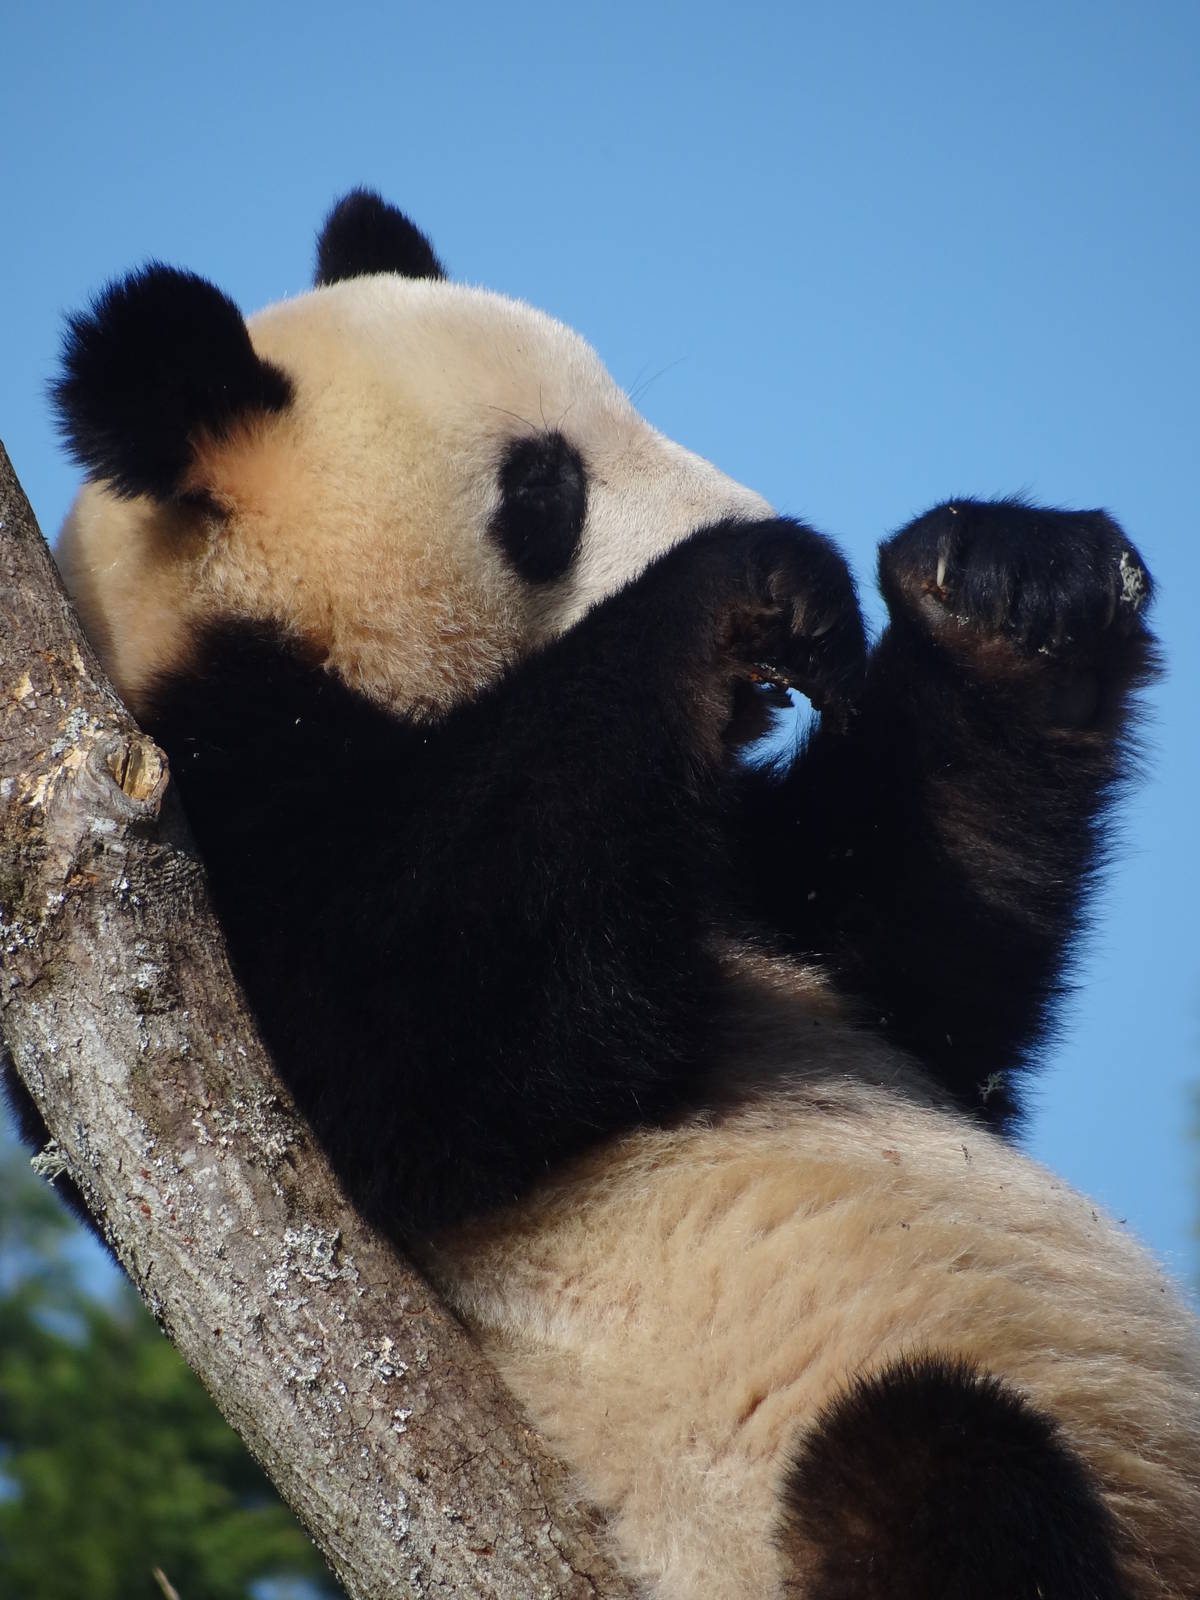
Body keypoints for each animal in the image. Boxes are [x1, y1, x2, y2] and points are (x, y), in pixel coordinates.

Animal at [39, 189, 1200, 1598]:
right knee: (934, 1458)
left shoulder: (738, 868)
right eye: (546, 488)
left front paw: (1000, 584)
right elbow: (396, 1047)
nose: (758, 511)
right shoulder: (205, 823)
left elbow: (927, 965)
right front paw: (753, 578)